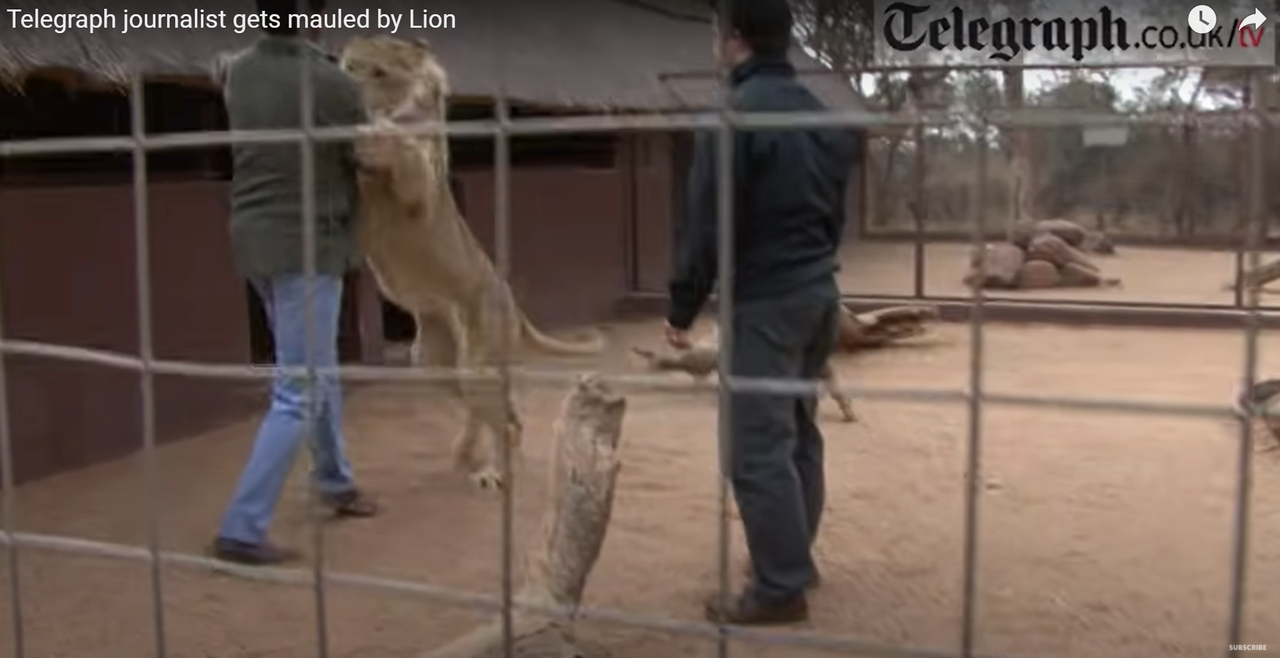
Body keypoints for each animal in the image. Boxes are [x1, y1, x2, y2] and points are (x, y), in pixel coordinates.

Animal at [337, 34, 601, 486]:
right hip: (432, 359)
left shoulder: (420, 194)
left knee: (502, 417)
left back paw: (493, 470)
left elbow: (403, 155)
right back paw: (466, 456)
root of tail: (510, 298)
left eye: (378, 71)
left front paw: (374, 133)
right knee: (492, 410)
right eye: (349, 66)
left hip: (478, 353)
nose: (345, 78)